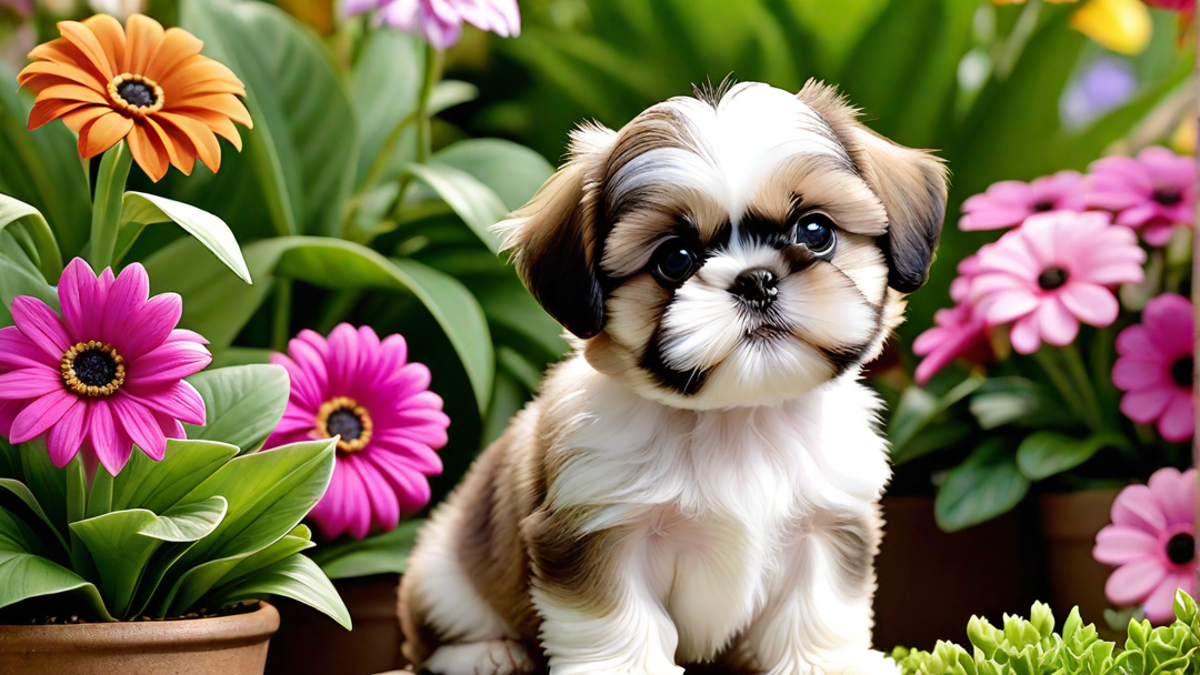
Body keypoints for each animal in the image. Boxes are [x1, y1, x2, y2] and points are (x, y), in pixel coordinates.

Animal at [393, 79, 945, 672]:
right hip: (446, 570)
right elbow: (619, 620)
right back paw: (487, 655)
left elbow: (817, 610)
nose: (756, 280)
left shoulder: (827, 523)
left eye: (815, 230)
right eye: (675, 258)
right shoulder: (596, 529)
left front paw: (832, 663)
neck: (737, 418)